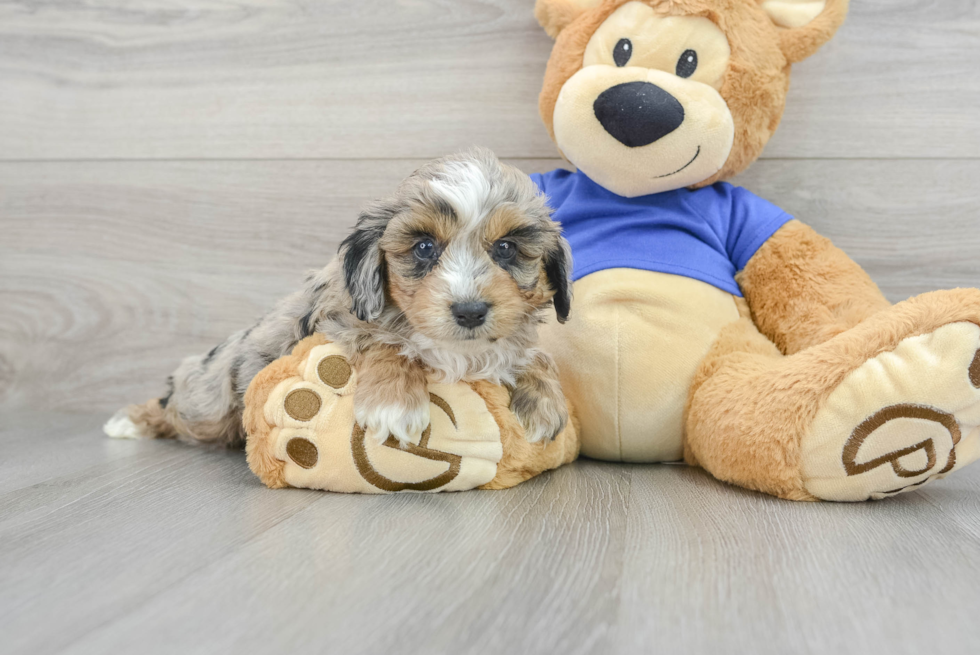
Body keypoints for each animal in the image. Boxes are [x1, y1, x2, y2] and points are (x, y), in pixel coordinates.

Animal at [103, 147, 572, 452]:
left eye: (507, 248)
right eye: (424, 247)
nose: (470, 311)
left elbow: (538, 355)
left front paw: (545, 404)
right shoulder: (337, 322)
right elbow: (386, 342)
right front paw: (393, 405)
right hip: (208, 401)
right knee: (175, 404)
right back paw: (129, 421)